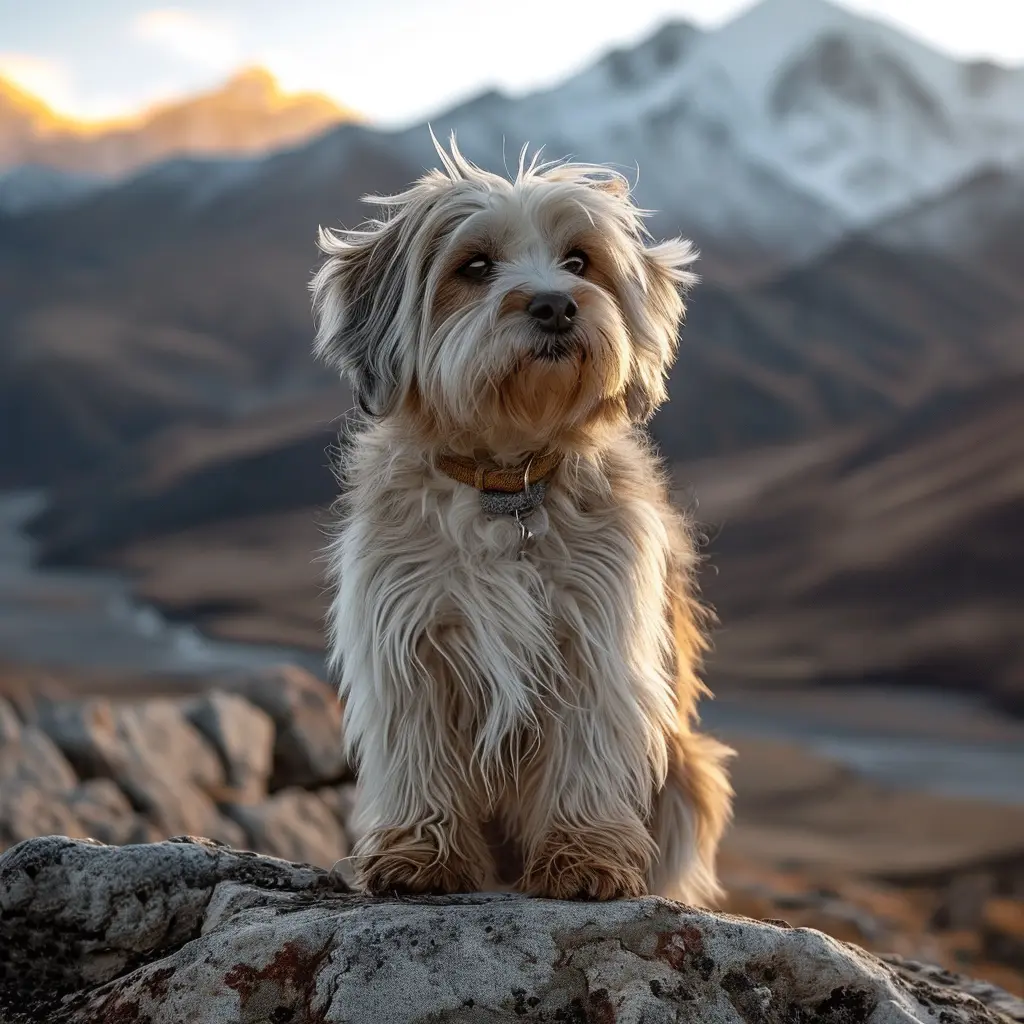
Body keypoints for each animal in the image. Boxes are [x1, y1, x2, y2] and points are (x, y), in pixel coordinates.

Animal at [307, 136, 733, 905]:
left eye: (580, 261)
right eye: (474, 266)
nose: (556, 306)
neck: (507, 482)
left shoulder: (594, 641)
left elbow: (586, 756)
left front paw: (584, 857)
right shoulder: (408, 640)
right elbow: (420, 755)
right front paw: (422, 853)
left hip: (693, 770)